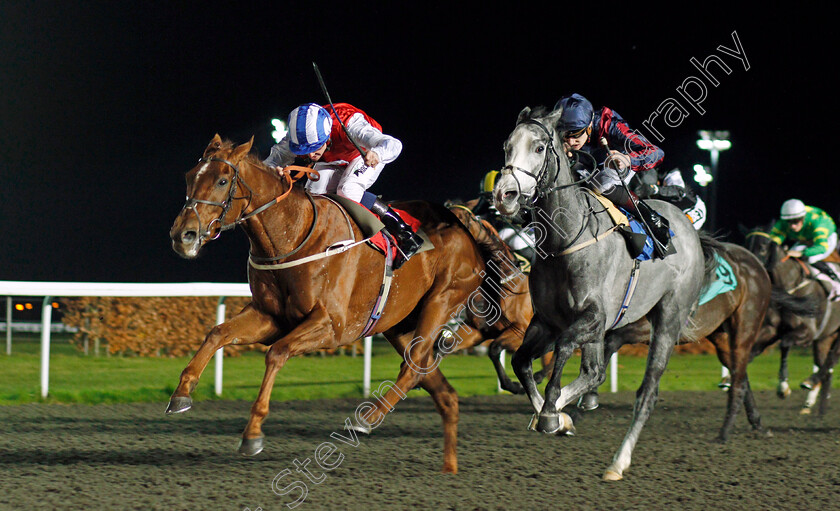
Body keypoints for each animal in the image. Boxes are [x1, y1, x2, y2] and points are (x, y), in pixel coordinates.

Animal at [492, 106, 720, 482]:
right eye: (506, 146)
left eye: (539, 147)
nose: (504, 195)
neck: (567, 240)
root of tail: (689, 228)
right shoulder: (547, 321)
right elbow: (522, 362)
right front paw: (551, 414)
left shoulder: (594, 316)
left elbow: (564, 349)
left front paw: (551, 413)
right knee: (594, 372)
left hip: (668, 319)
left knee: (646, 392)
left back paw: (618, 462)